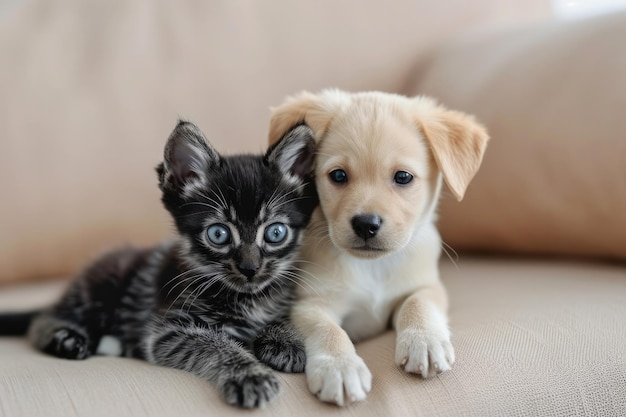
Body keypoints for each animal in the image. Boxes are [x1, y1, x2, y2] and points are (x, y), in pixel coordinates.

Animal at [3, 120, 316, 406]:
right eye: (219, 234)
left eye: (275, 232)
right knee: (42, 319)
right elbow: (215, 345)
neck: (247, 298)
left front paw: (285, 339)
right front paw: (249, 375)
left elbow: (283, 317)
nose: (250, 269)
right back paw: (65, 338)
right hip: (101, 286)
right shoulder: (169, 331)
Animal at [266, 88, 488, 404]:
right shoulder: (308, 304)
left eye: (403, 177)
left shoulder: (427, 285)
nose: (365, 224)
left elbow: (418, 303)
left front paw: (424, 339)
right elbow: (328, 330)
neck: (373, 268)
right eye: (338, 175)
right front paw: (339, 366)